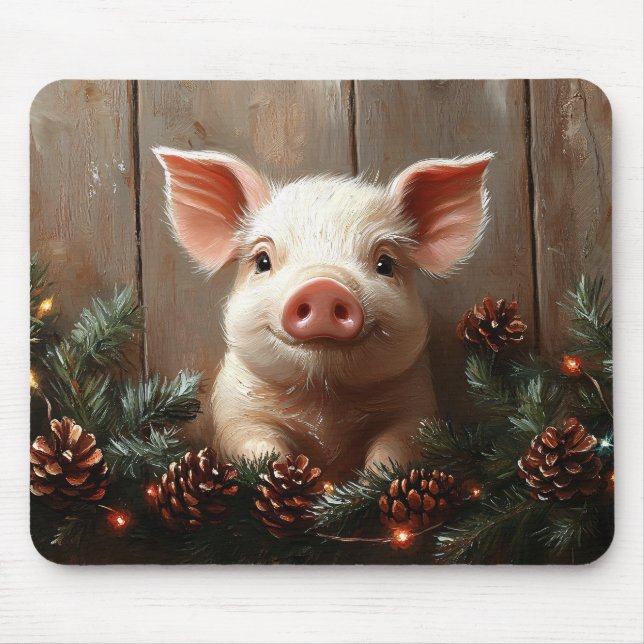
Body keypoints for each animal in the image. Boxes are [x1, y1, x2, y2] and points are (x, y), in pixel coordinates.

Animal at [154, 147, 493, 480]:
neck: (322, 400)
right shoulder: (234, 411)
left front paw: (368, 481)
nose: (323, 286)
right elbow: (256, 444)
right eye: (263, 261)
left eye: (385, 264)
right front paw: (282, 473)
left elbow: (395, 447)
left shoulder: (416, 406)